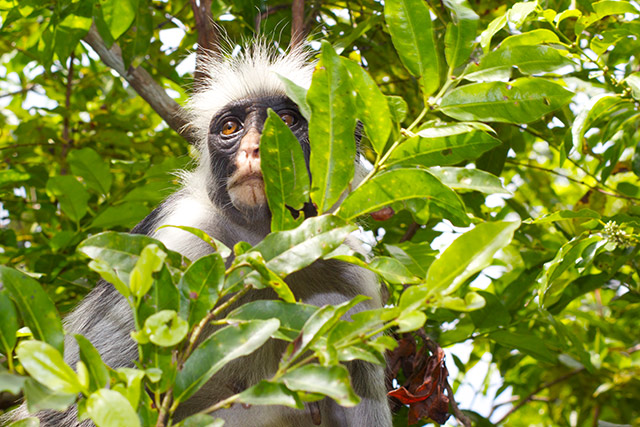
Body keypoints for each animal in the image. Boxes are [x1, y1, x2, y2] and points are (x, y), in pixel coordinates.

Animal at [5, 43, 392, 427]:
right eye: (231, 127)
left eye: (286, 121)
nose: (254, 148)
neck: (269, 249)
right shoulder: (180, 243)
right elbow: (69, 403)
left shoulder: (353, 283)